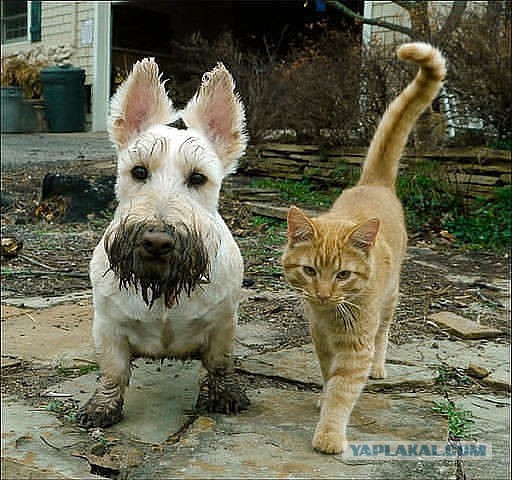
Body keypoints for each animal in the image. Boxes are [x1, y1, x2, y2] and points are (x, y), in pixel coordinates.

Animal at [77, 59, 250, 428]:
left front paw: (225, 394)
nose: (156, 242)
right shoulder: (109, 327)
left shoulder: (223, 324)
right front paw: (102, 406)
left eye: (198, 178)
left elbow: (219, 362)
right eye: (139, 172)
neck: (162, 286)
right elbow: (112, 371)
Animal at [282, 42, 446, 454]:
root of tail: (374, 183)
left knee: (384, 332)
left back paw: (379, 366)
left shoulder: (355, 346)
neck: (330, 315)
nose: (323, 294)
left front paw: (329, 434)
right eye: (310, 271)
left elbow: (343, 389)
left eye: (343, 274)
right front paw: (323, 396)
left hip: (390, 299)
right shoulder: (321, 338)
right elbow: (329, 375)